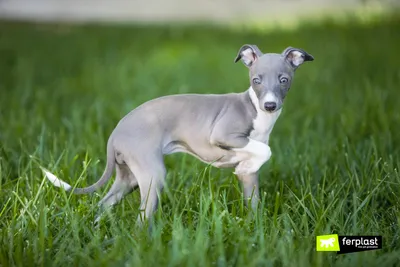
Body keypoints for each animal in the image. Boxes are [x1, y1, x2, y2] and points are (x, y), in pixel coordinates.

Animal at [42, 45, 314, 225]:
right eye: (256, 80)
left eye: (284, 80)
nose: (270, 105)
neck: (255, 110)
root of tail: (115, 133)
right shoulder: (223, 135)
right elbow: (263, 149)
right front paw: (246, 162)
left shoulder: (251, 177)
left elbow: (253, 195)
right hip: (153, 175)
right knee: (142, 217)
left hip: (129, 176)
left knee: (104, 204)